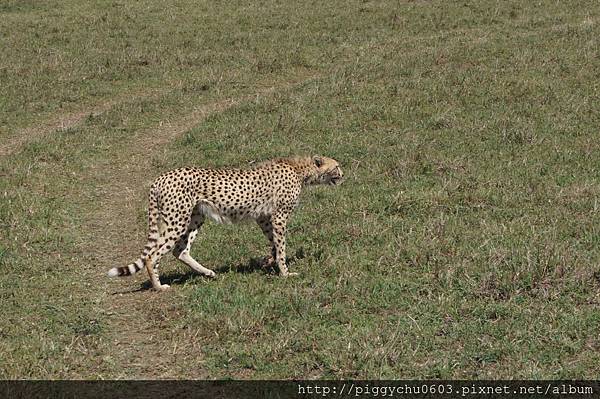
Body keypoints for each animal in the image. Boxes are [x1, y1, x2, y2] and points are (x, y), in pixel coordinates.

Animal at [106, 155, 342, 290]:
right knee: (153, 255)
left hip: (194, 217)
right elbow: (281, 246)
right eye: (337, 166)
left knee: (179, 251)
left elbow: (274, 244)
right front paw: (285, 273)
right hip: (177, 219)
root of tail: (160, 178)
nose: (344, 174)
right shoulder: (279, 216)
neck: (300, 169)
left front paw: (268, 261)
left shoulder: (264, 217)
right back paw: (159, 286)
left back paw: (208, 273)